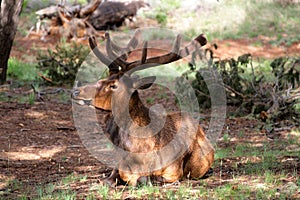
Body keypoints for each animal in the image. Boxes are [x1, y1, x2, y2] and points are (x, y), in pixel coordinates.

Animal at [72, 30, 214, 187]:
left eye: (113, 85)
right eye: (101, 80)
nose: (76, 91)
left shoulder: (174, 171)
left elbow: (143, 179)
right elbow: (109, 179)